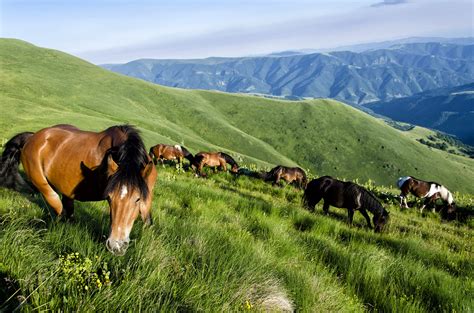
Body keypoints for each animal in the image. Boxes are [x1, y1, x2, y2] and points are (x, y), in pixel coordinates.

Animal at [0, 123, 159, 255]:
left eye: (137, 199)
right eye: (109, 198)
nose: (116, 246)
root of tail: (32, 138)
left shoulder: (147, 199)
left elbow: (148, 222)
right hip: (45, 187)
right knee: (60, 210)